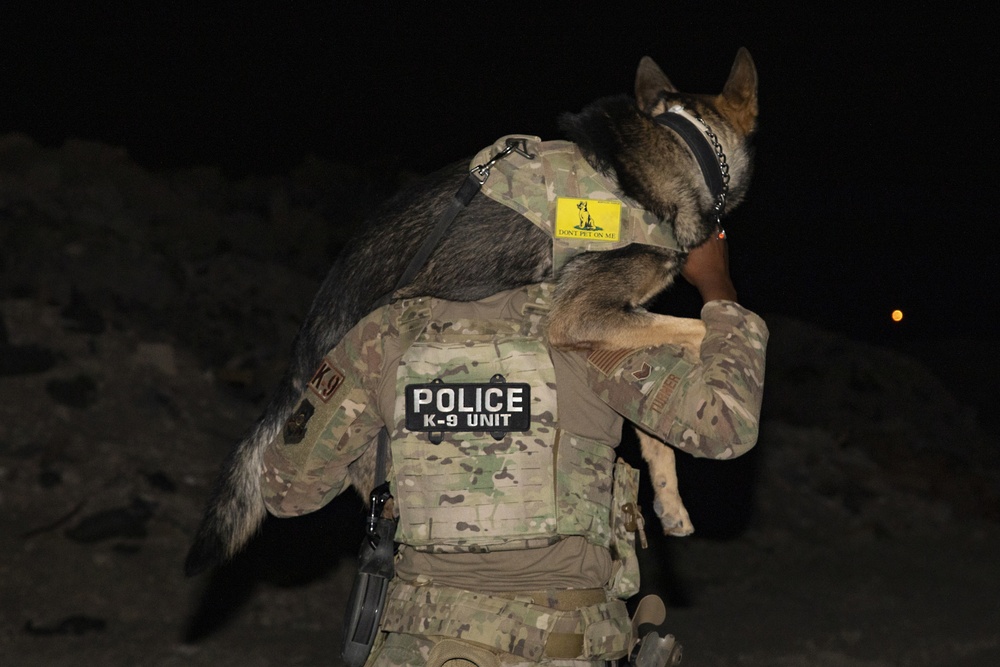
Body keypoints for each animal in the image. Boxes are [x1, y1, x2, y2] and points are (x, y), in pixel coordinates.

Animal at [186, 49, 756, 576]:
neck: (685, 146)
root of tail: (306, 338)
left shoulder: (620, 320)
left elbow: (653, 429)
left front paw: (669, 500)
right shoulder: (580, 314)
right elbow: (698, 326)